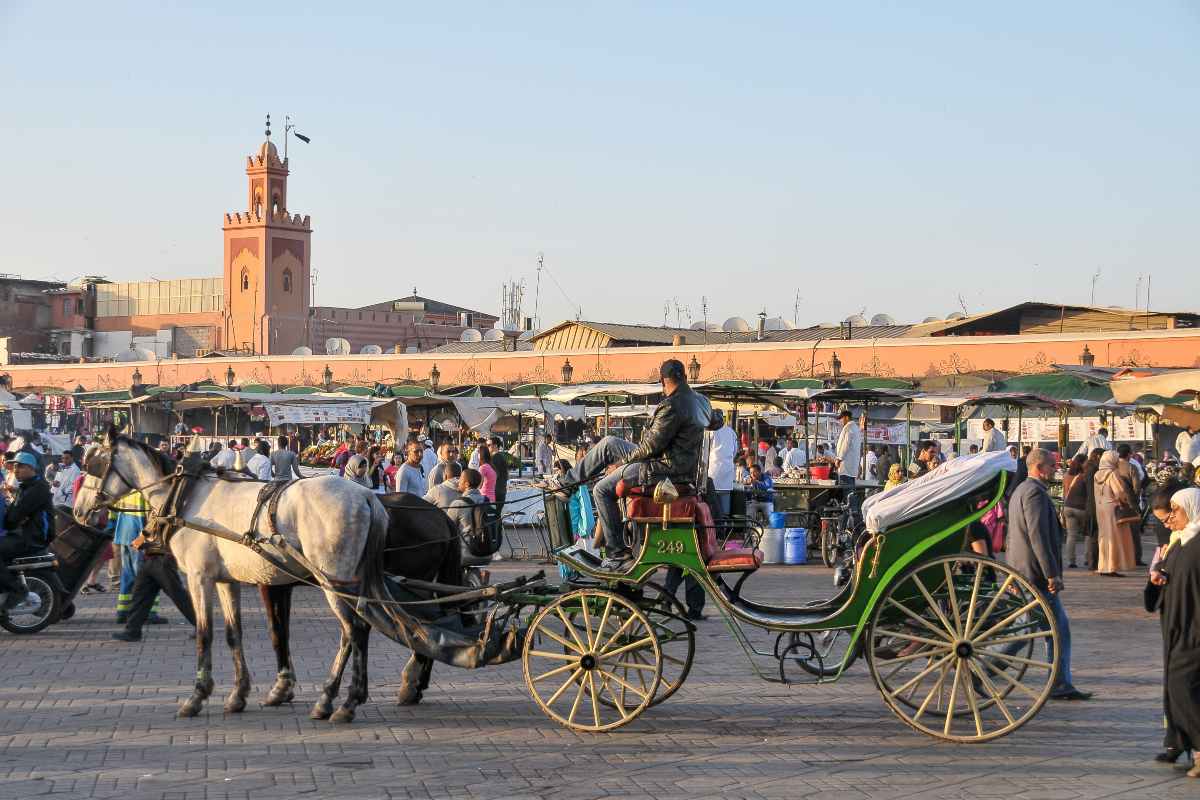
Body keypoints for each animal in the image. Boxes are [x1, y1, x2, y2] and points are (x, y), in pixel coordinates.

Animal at [75, 434, 391, 724]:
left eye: (95, 465)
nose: (79, 510)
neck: (183, 496)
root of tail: (366, 496)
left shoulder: (199, 577)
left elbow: (205, 633)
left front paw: (197, 696)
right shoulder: (226, 579)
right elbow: (232, 633)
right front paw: (238, 694)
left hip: (332, 578)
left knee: (353, 630)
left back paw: (340, 701)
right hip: (347, 580)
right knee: (359, 628)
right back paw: (342, 697)